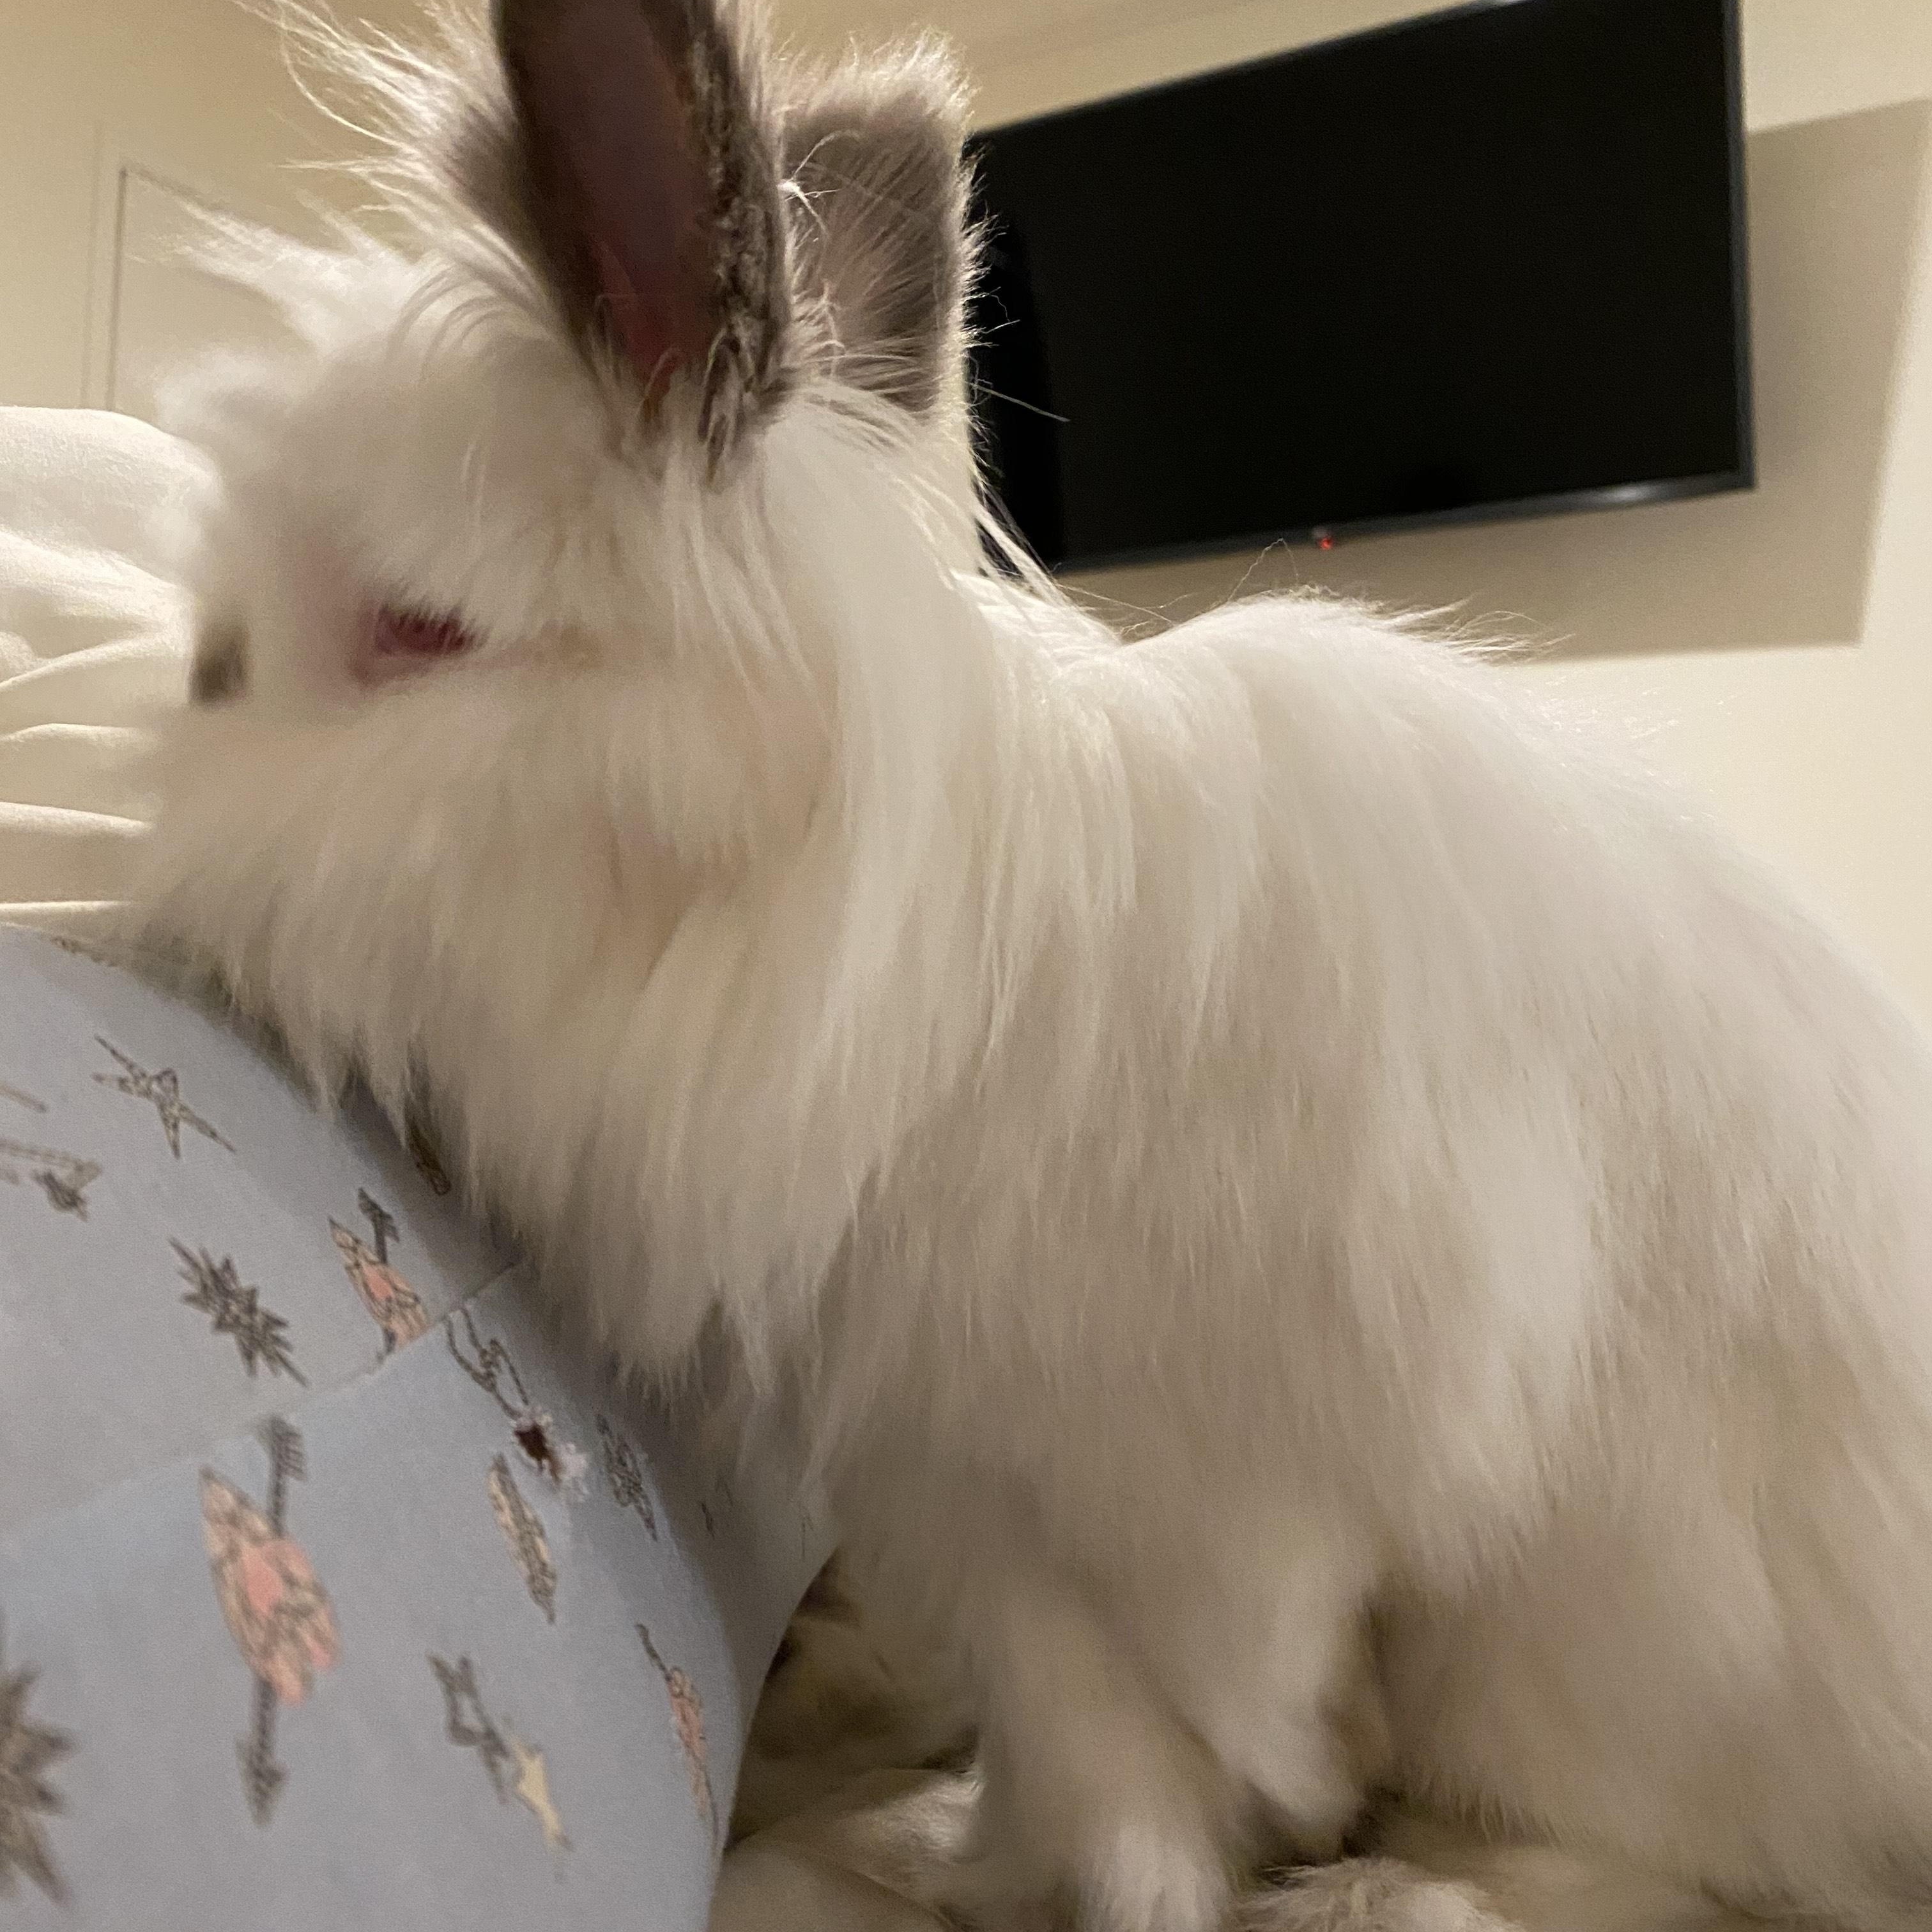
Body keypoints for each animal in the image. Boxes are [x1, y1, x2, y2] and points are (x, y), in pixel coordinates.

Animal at [130, 2, 1932, 1928]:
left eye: (416, 633)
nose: (176, 753)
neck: (915, 1005)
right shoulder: (984, 1519)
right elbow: (1079, 1765)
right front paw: (975, 1860)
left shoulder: (1198, 1509)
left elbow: (1207, 1737)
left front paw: (1198, 1847)